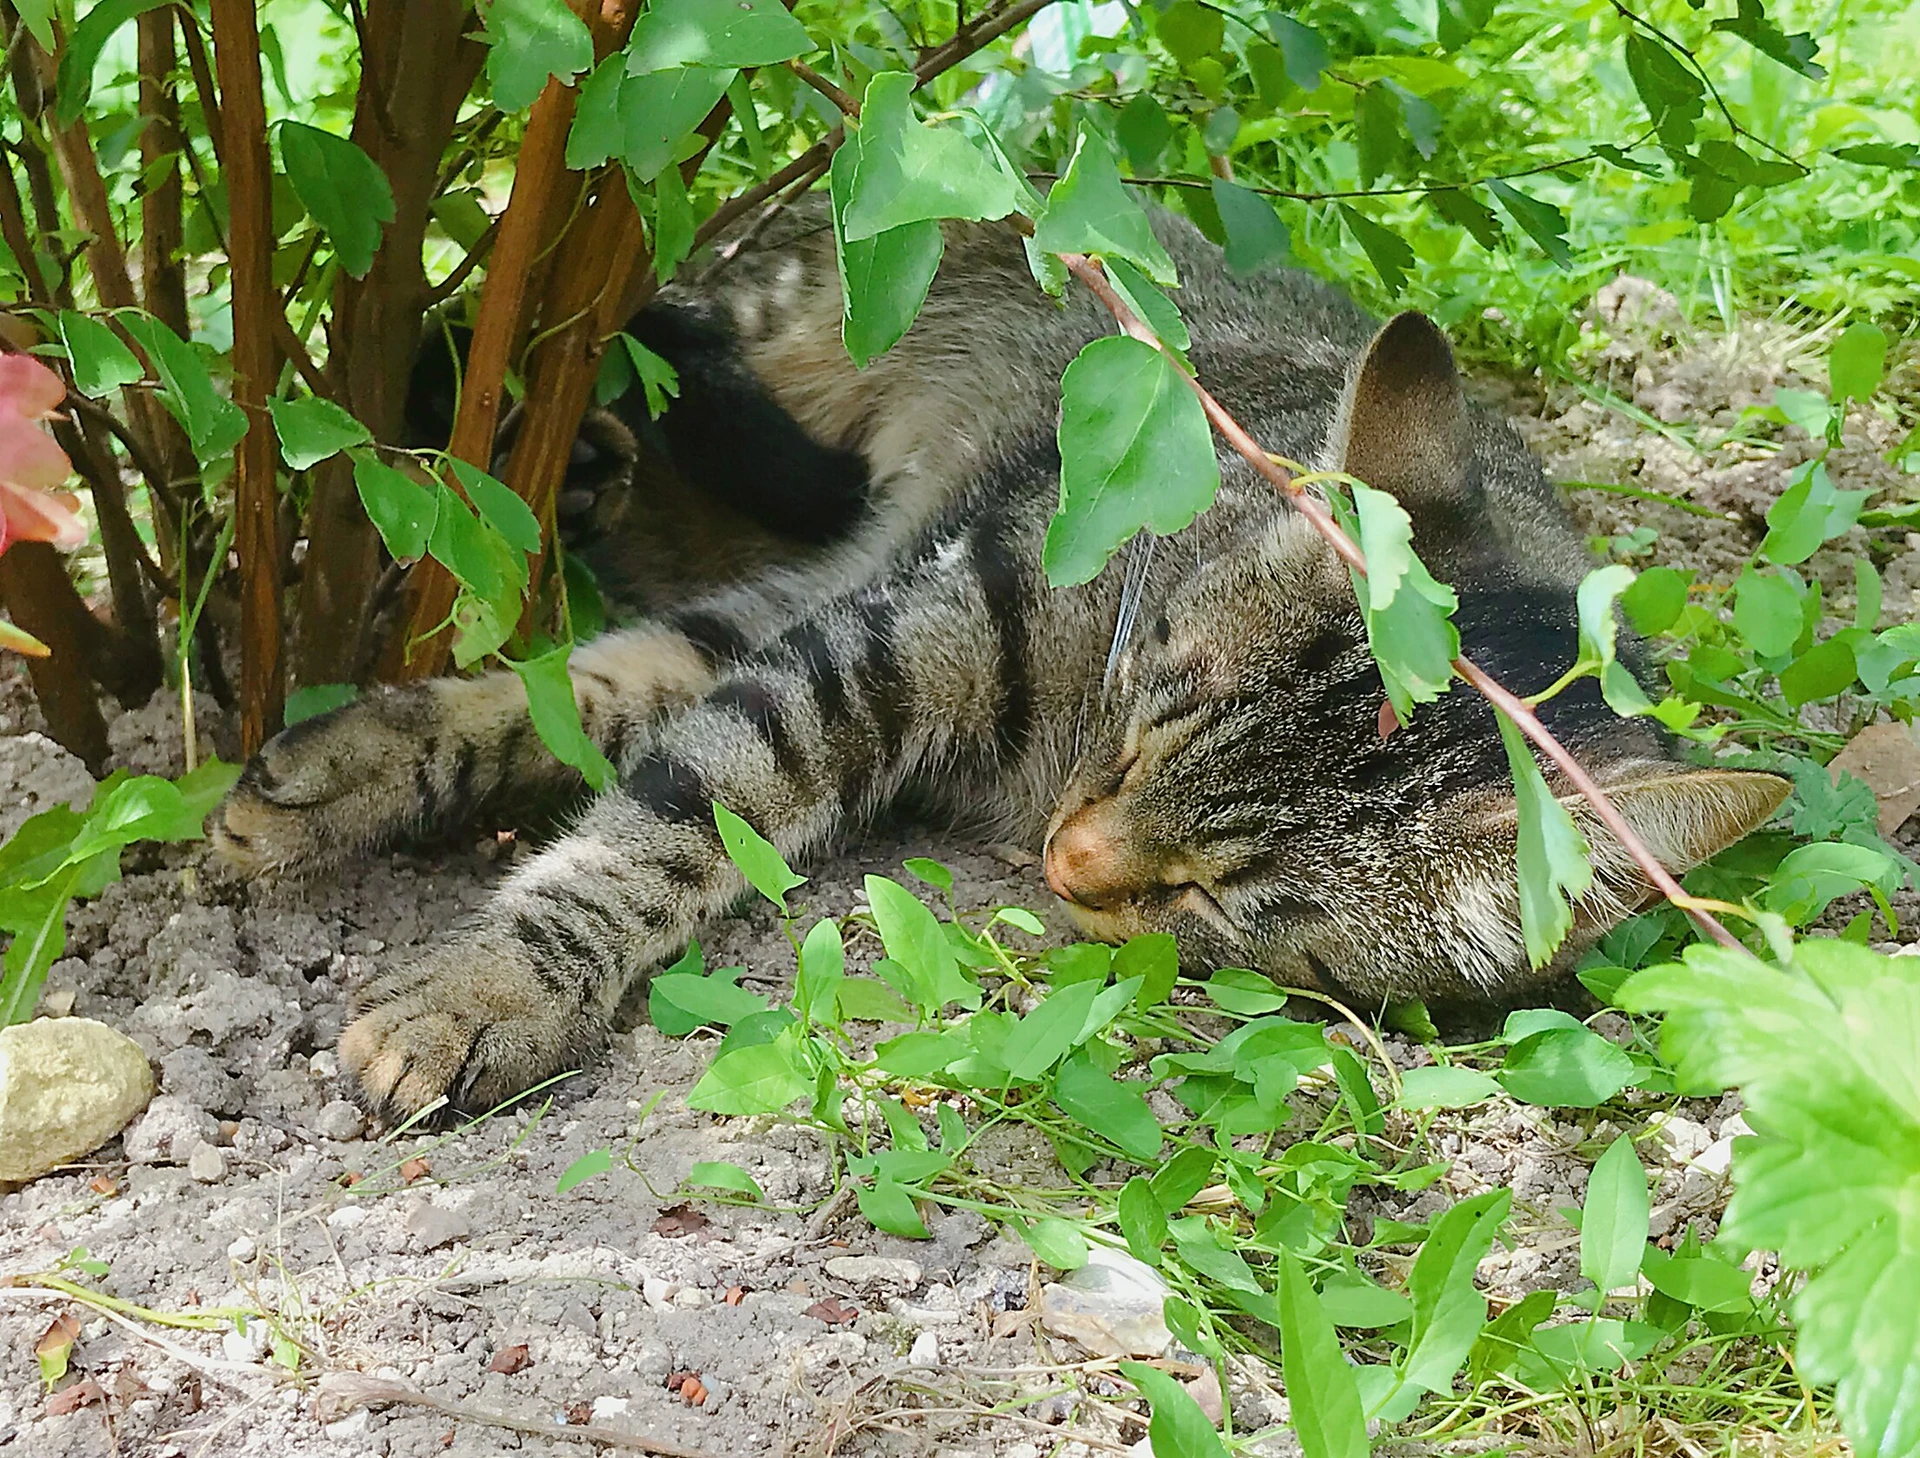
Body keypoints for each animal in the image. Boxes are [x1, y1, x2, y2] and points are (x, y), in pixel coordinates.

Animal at [210, 202, 1781, 1114]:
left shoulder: (832, 610)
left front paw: (354, 780)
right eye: (1155, 705)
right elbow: (662, 815)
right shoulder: (889, 629)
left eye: (1228, 900)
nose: (1071, 860)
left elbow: (602, 709)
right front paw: (488, 988)